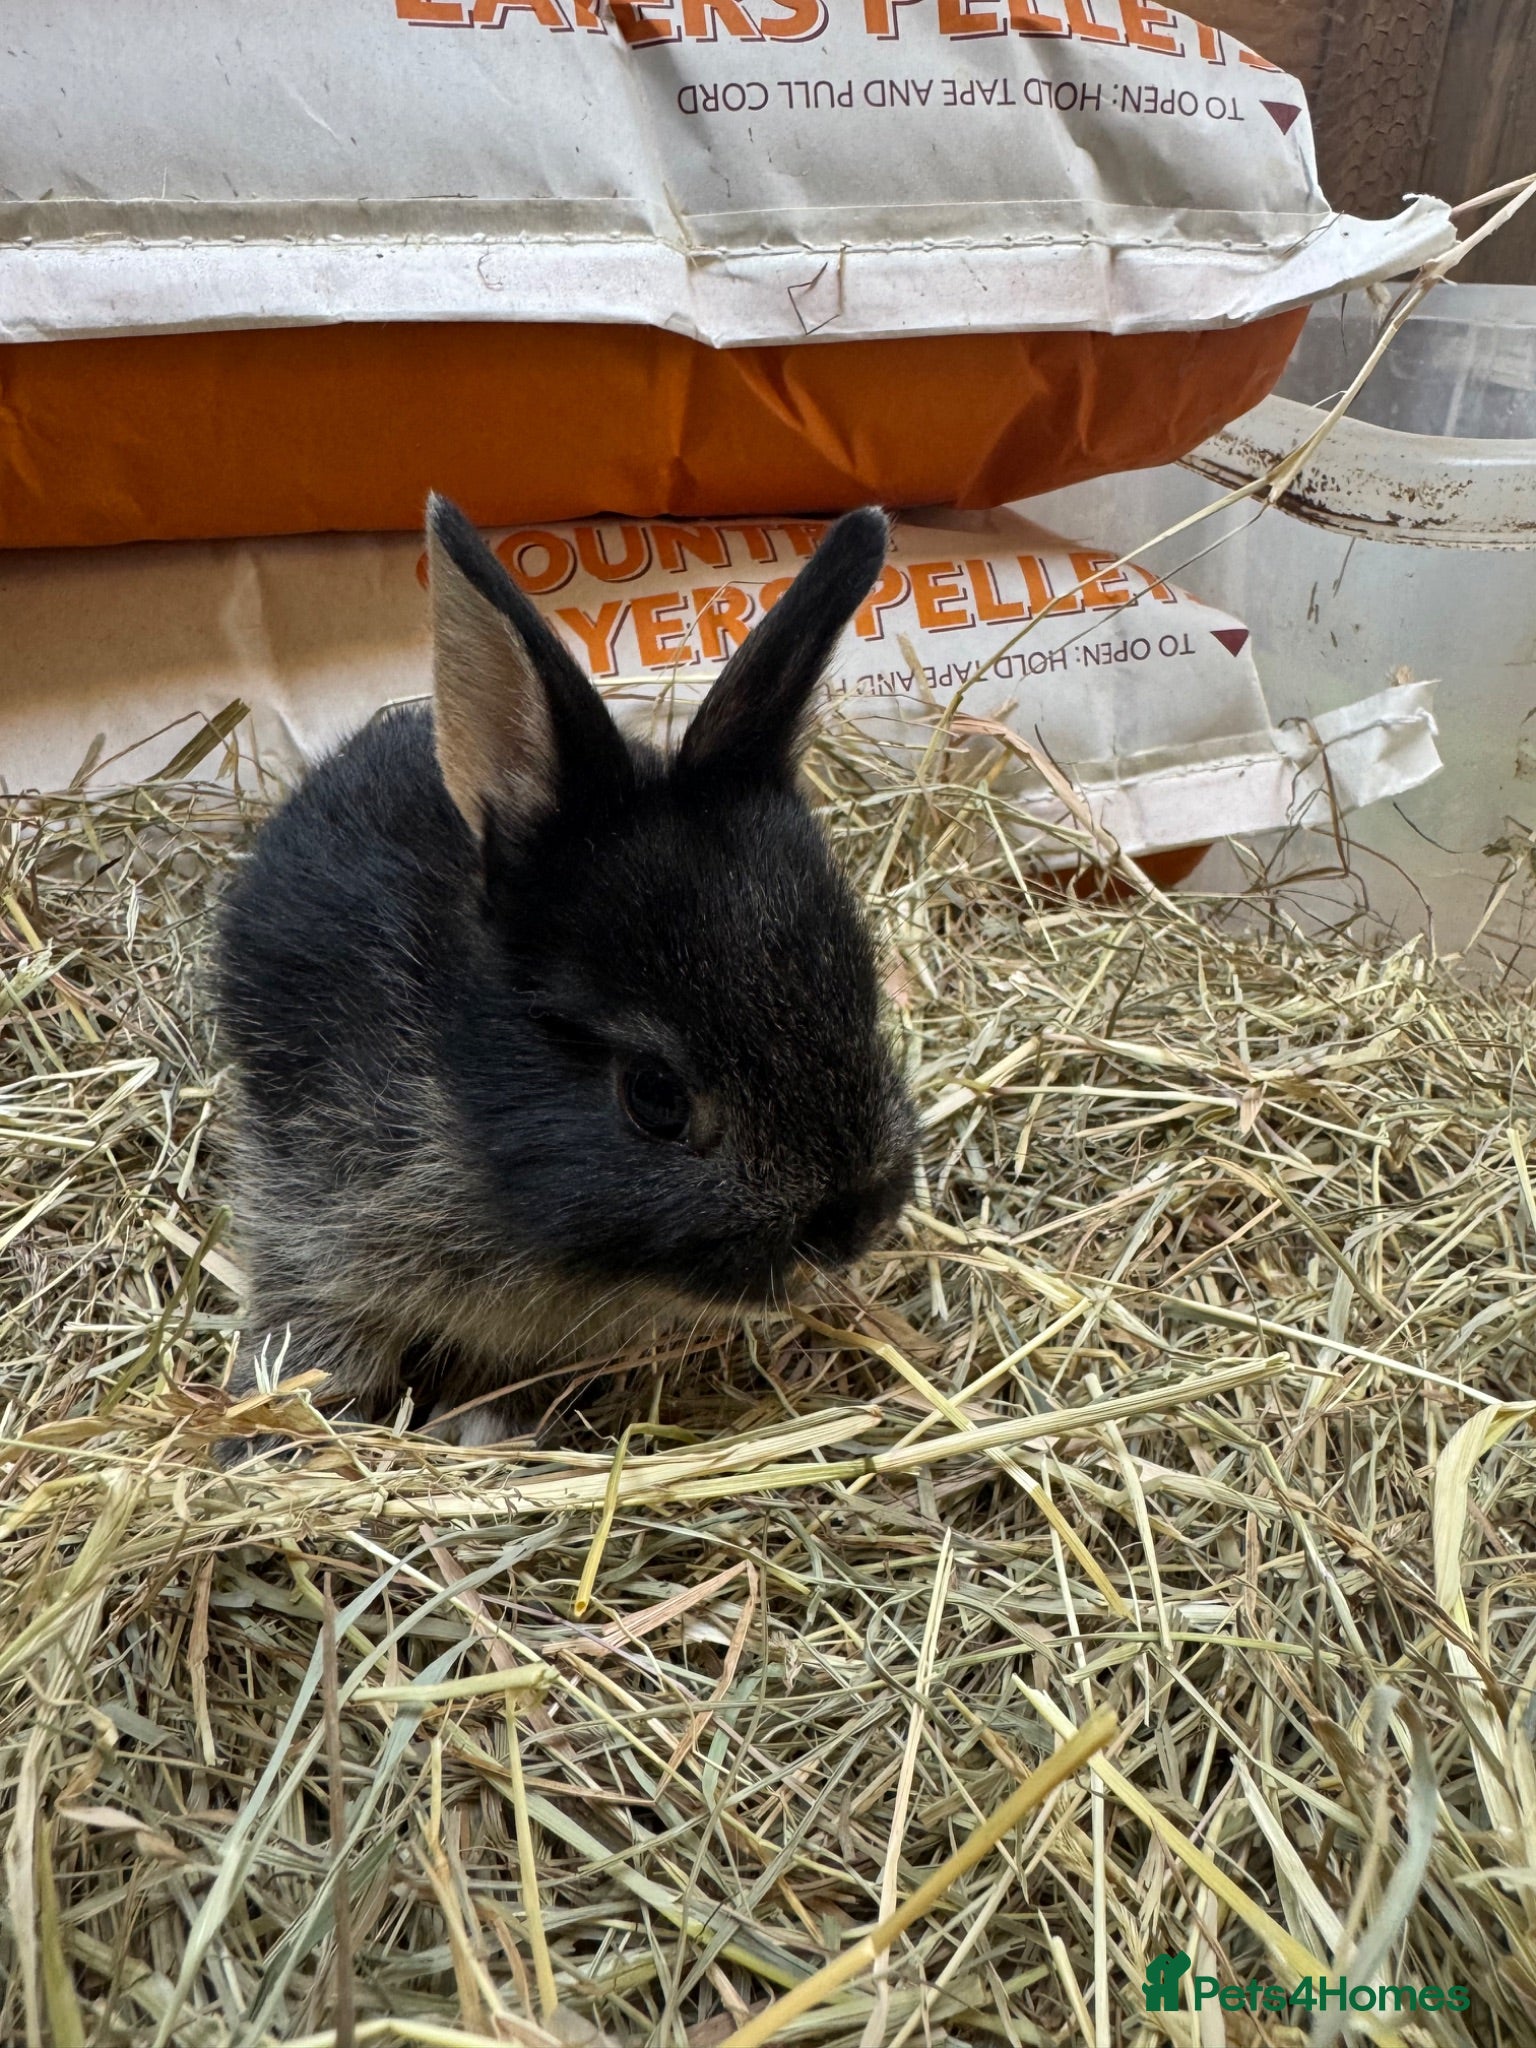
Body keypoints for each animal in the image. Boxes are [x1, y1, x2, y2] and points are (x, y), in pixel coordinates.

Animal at [213, 495, 916, 1459]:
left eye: (864, 999)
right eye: (653, 1095)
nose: (852, 1227)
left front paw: (493, 1423)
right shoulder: (312, 1220)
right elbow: (316, 1332)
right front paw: (272, 1438)